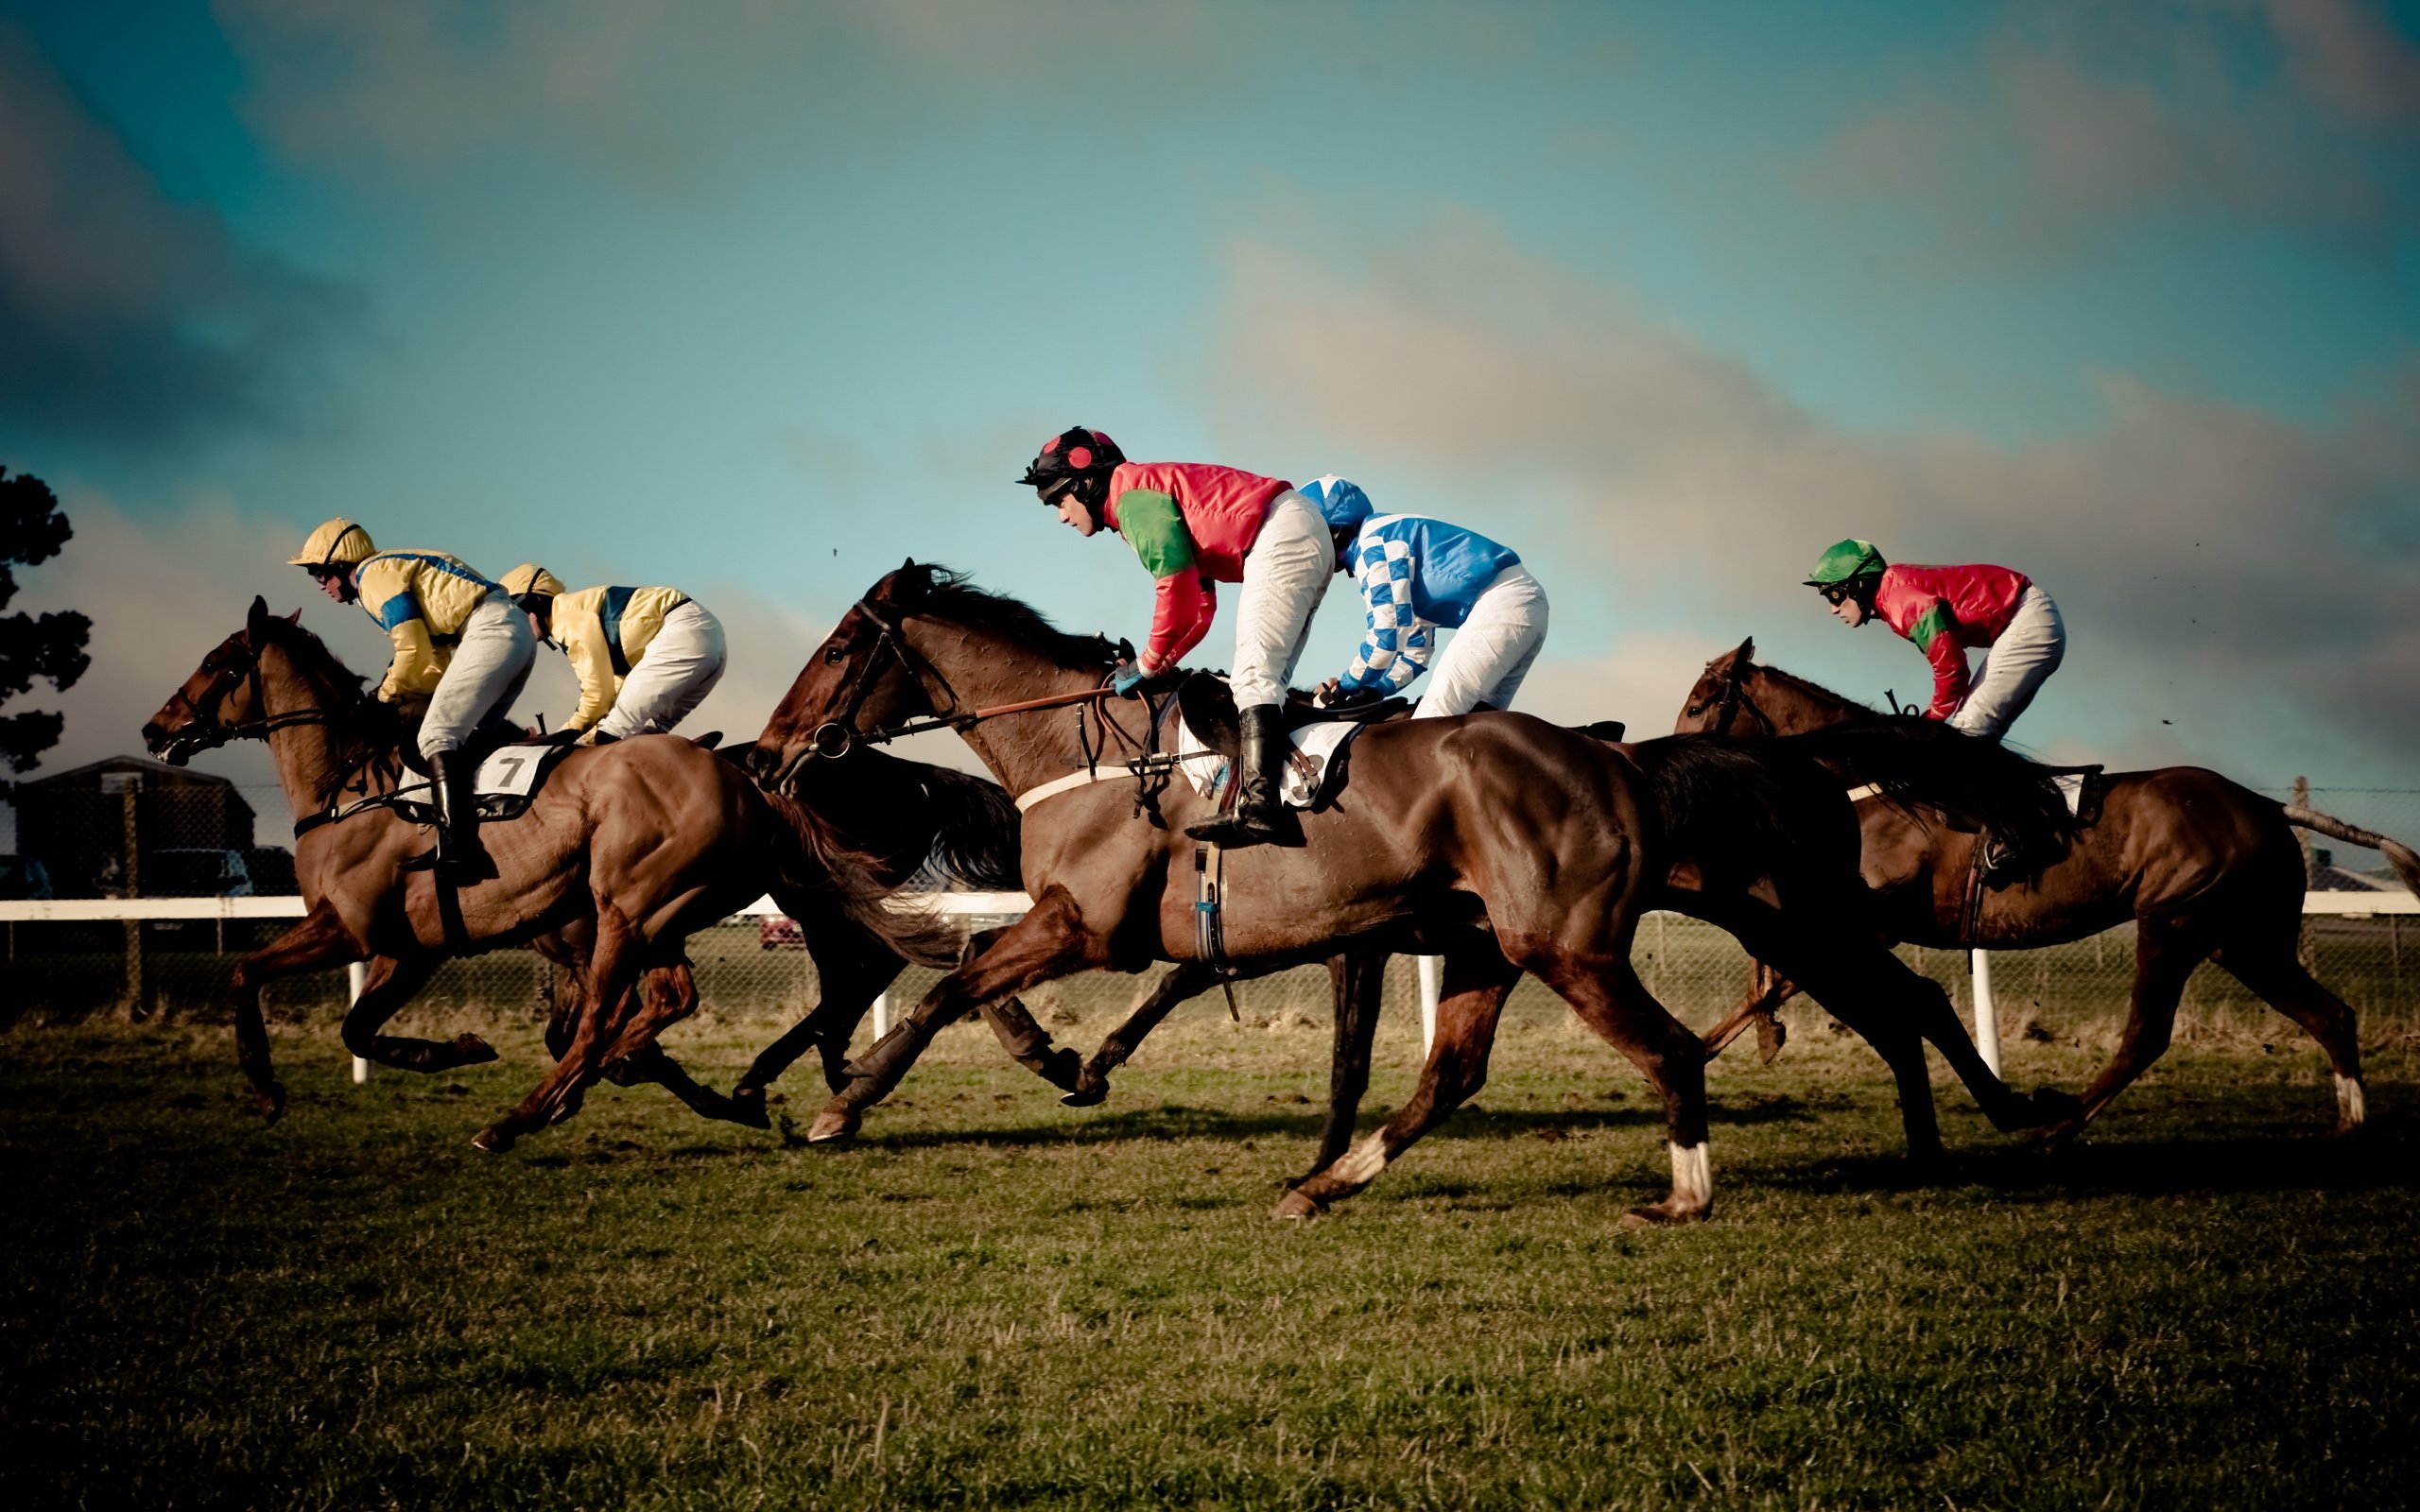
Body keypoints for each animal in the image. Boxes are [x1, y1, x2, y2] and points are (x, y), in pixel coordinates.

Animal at [134, 594, 943, 1151]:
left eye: (219, 663)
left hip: (630, 911)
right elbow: (358, 1029)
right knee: (677, 999)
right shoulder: (412, 949)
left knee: (614, 1020)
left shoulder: (356, 932)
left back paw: (520, 1116)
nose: (154, 727)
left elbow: (253, 977)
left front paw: (267, 1089)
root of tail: (745, 776)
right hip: (659, 916)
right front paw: (457, 1050)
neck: (350, 787)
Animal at [745, 560, 2071, 1219]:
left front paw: (844, 1104)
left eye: (836, 648)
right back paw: (1326, 1184)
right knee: (1457, 1073)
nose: (767, 750)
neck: (1094, 748)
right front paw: (1074, 1064)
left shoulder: (1088, 925)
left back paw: (1697, 1191)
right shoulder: (1329, 939)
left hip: (1588, 941)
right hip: (1577, 934)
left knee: (1709, 1041)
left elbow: (950, 989)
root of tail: (1623, 762)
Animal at [1684, 633, 2420, 1132]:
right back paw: (2350, 1125)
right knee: (2329, 1014)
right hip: (2242, 939)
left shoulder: (1867, 924)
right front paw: (1750, 1040)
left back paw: (2062, 1123)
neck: (1863, 785)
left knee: (2147, 1034)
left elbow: (1797, 982)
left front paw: (1734, 1041)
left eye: (1697, 705)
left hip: (2175, 922)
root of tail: (2268, 808)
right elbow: (1770, 977)